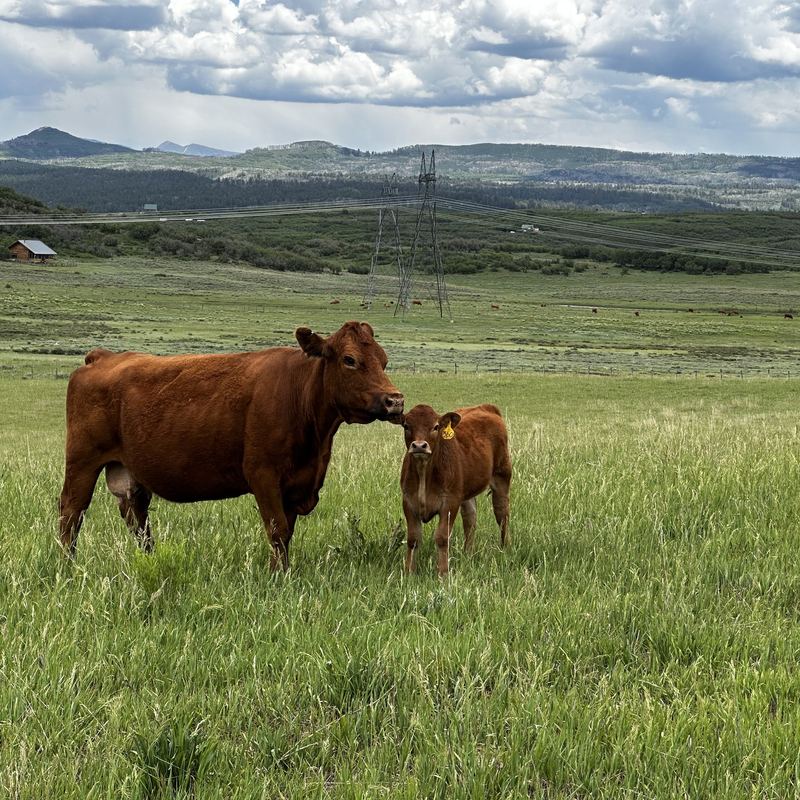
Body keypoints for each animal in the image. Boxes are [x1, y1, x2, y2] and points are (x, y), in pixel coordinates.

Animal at [59, 321, 404, 570]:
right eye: (350, 360)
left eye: (385, 361)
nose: (395, 400)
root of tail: (104, 356)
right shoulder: (263, 475)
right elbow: (277, 529)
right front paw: (279, 576)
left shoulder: (298, 482)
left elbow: (287, 533)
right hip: (82, 461)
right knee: (72, 512)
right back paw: (68, 566)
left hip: (128, 472)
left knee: (138, 520)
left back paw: (149, 560)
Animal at [400, 403, 511, 576]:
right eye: (406, 426)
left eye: (436, 426)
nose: (419, 446)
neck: (424, 473)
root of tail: (486, 407)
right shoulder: (408, 502)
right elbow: (413, 539)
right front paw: (409, 572)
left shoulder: (450, 503)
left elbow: (441, 537)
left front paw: (442, 573)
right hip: (465, 492)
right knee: (470, 519)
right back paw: (467, 554)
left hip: (502, 477)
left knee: (502, 515)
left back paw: (506, 550)